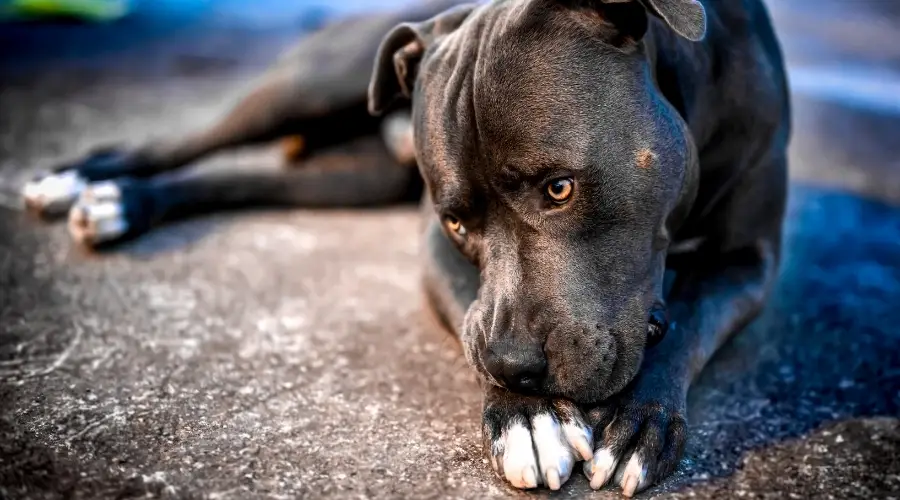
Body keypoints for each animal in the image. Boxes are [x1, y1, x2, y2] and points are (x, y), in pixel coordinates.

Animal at [21, 0, 792, 494]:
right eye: (457, 225)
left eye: (561, 188)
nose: (517, 369)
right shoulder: (435, 252)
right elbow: (474, 319)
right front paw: (528, 418)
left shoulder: (748, 262)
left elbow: (689, 321)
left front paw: (638, 422)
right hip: (312, 82)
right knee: (185, 140)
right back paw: (81, 179)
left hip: (349, 177)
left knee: (236, 177)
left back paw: (122, 203)